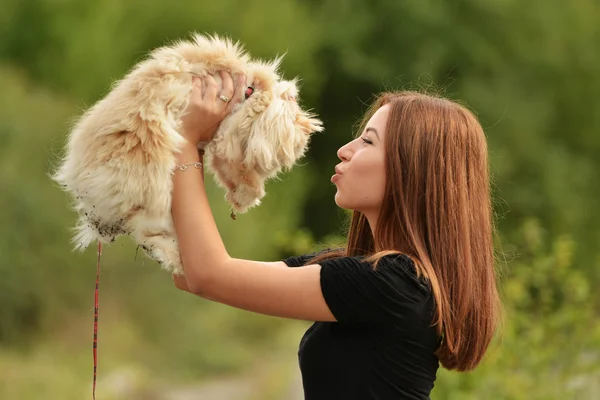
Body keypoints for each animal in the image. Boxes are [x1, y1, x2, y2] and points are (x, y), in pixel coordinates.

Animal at [51, 33, 324, 276]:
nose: (305, 135)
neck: (251, 92)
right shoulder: (229, 136)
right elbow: (239, 169)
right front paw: (247, 197)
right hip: (153, 188)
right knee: (146, 230)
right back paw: (176, 260)